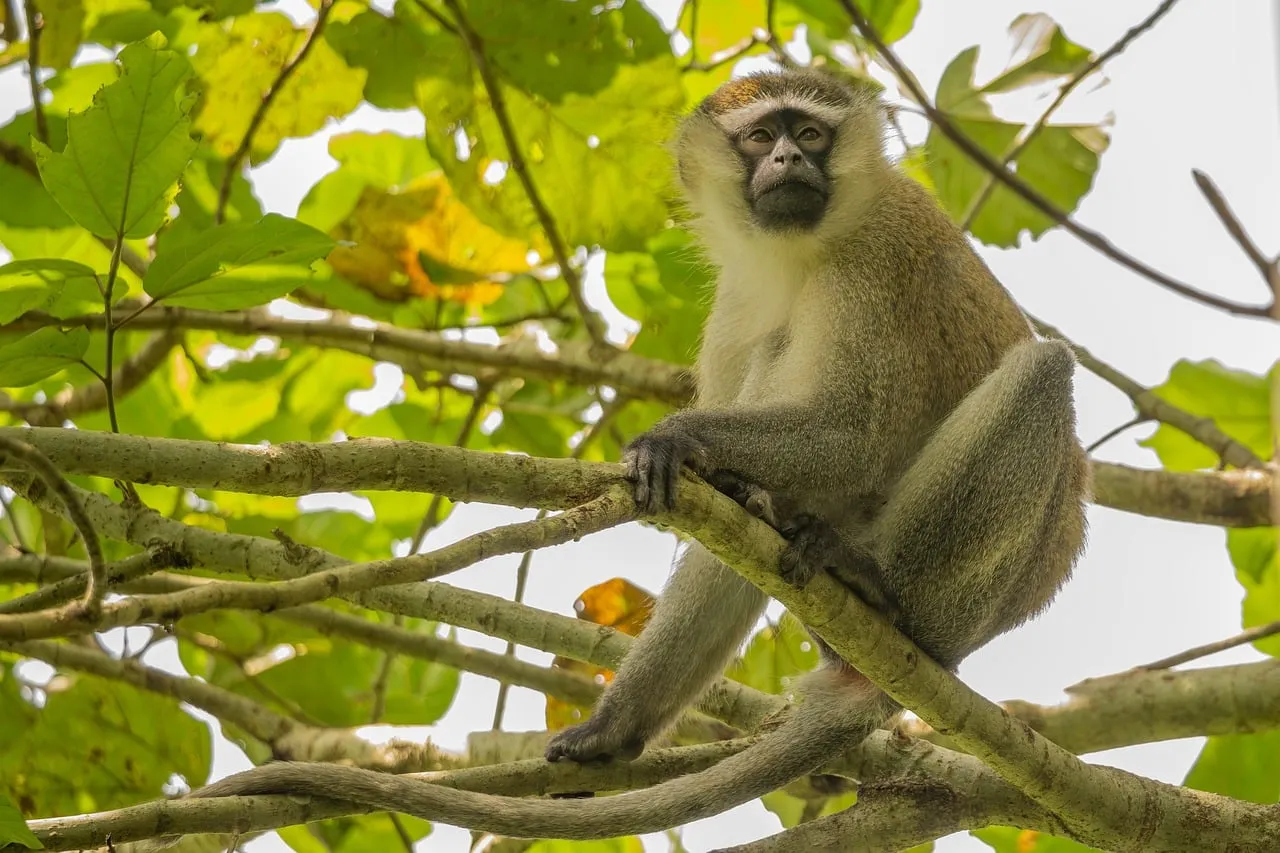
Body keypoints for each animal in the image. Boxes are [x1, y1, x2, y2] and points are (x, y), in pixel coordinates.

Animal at [181, 68, 1090, 844]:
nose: (791, 160)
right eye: (762, 137)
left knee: (1042, 374)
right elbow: (722, 520)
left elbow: (858, 428)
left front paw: (674, 438)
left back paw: (877, 587)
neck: (798, 252)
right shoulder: (735, 300)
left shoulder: (883, 256)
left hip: (970, 601)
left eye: (810, 132)